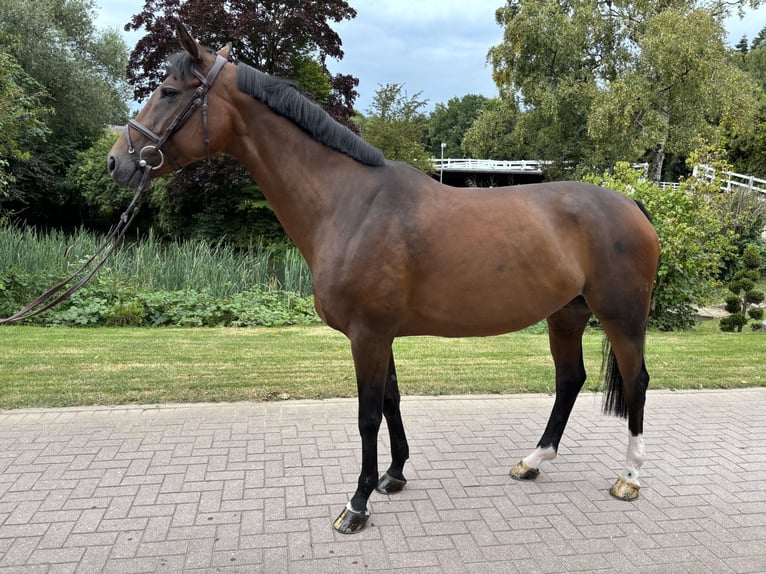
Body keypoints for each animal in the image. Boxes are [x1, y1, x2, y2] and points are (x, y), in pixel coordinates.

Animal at [108, 22, 660, 535]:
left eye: (169, 92)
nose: (117, 161)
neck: (349, 204)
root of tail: (630, 203)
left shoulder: (368, 335)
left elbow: (367, 414)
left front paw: (357, 503)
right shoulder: (380, 333)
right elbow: (392, 399)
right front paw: (393, 476)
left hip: (622, 317)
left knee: (636, 381)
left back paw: (629, 478)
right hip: (566, 315)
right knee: (570, 380)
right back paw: (532, 461)